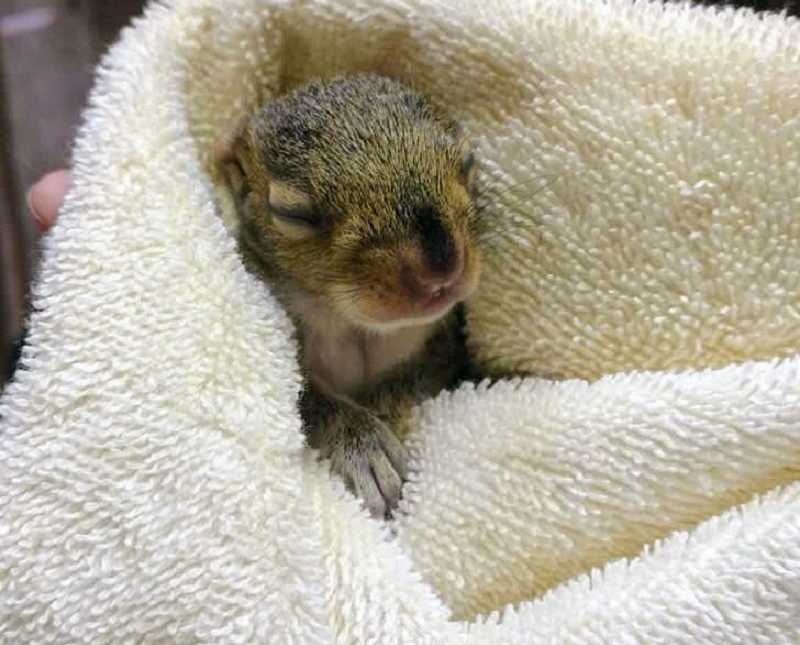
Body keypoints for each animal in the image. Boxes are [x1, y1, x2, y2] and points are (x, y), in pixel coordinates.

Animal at [218, 74, 483, 518]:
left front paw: (382, 426)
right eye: (293, 214)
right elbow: (307, 403)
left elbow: (409, 383)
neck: (349, 322)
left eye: (467, 162)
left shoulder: (439, 346)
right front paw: (363, 447)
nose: (440, 268)